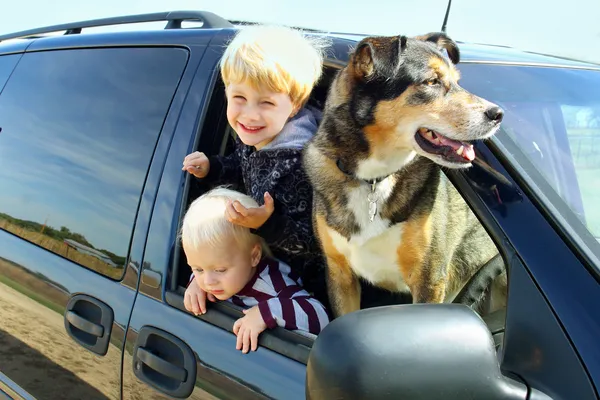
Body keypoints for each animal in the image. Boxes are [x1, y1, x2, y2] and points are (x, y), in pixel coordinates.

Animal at [304, 32, 506, 318]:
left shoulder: (429, 281)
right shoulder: (340, 275)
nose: (498, 114)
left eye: (457, 81)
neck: (374, 178)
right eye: (432, 81)